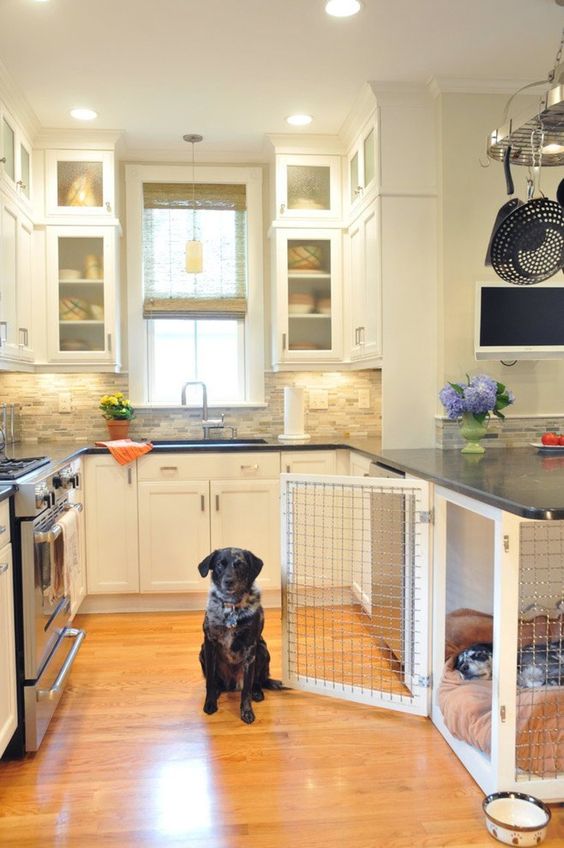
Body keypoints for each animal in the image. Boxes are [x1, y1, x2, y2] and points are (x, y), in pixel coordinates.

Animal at [199, 548, 286, 724]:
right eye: (219, 564)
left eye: (240, 564)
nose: (229, 581)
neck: (231, 607)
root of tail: (232, 685)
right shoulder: (209, 643)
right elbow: (210, 680)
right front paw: (210, 703)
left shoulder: (250, 648)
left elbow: (246, 689)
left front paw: (247, 711)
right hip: (202, 652)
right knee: (216, 683)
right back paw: (218, 691)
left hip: (262, 651)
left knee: (257, 681)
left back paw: (257, 692)